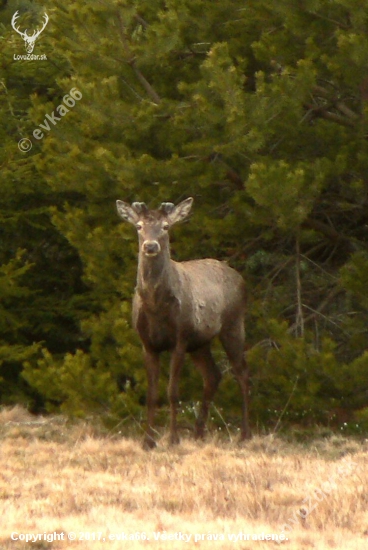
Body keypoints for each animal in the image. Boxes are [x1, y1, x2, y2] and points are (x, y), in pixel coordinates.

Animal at [116, 198, 252, 448]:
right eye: (139, 226)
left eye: (166, 227)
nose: (150, 246)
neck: (155, 307)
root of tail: (239, 277)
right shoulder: (148, 344)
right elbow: (151, 395)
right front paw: (148, 441)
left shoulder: (179, 338)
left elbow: (172, 392)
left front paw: (173, 439)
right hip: (199, 342)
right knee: (213, 375)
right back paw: (199, 433)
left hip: (233, 324)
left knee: (243, 374)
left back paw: (245, 434)